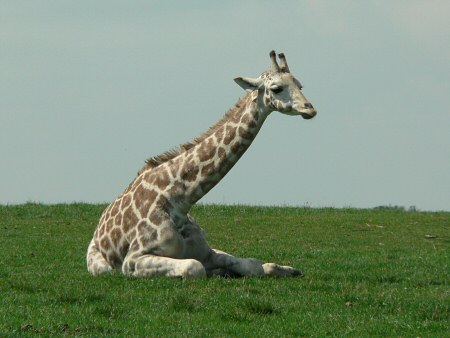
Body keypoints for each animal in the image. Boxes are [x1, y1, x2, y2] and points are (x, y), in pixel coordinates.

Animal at [85, 50, 316, 278]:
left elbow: (253, 265)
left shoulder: (207, 251)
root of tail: (97, 228)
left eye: (300, 85)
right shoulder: (133, 260)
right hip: (100, 266)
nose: (310, 109)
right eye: (277, 88)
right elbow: (194, 267)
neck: (178, 203)